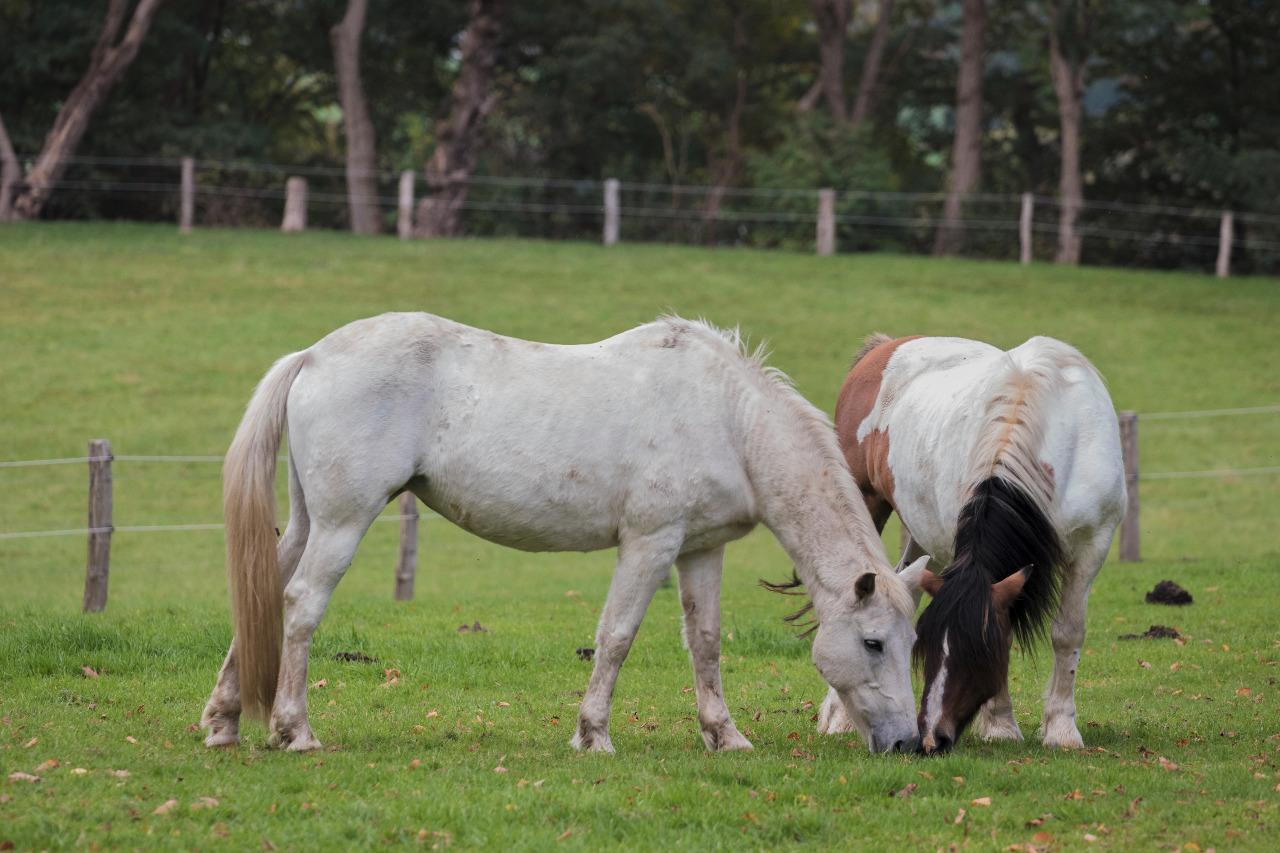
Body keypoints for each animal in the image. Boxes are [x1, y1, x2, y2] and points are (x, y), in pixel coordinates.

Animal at [199, 312, 931, 753]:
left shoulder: (700, 548)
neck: (728, 417)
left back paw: (224, 721)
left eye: (910, 643)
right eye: (872, 642)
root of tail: (314, 356)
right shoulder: (650, 543)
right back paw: (294, 730)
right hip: (343, 523)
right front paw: (593, 734)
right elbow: (617, 636)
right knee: (300, 606)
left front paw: (724, 736)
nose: (906, 743)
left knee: (262, 596)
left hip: (307, 521)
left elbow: (706, 642)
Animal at [814, 333, 1126, 753]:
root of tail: (884, 348)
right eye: (927, 649)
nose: (931, 739)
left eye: (978, 653)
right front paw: (1001, 725)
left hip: (920, 539)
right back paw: (839, 717)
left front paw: (1061, 730)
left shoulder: (1093, 546)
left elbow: (1067, 633)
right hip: (866, 503)